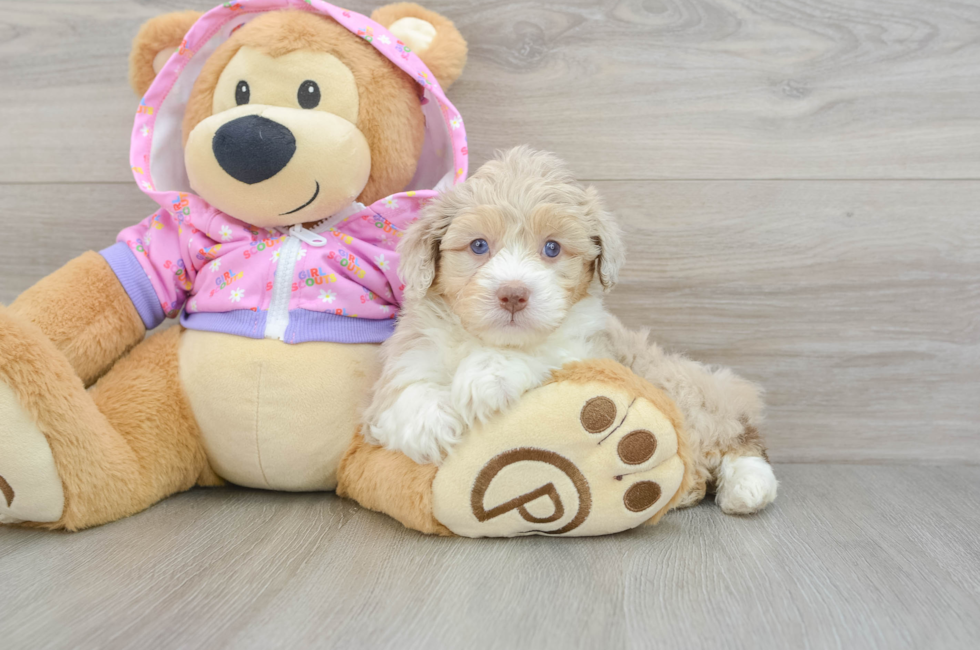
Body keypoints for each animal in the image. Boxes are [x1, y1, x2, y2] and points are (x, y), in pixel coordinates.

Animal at [366, 146, 780, 512]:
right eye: (479, 245)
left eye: (552, 248)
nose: (513, 294)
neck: (483, 339)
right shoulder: (410, 352)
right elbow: (403, 388)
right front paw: (428, 424)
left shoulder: (589, 350)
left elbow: (541, 353)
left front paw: (489, 375)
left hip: (681, 387)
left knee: (735, 437)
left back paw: (748, 486)